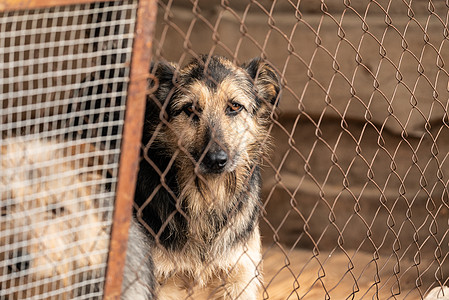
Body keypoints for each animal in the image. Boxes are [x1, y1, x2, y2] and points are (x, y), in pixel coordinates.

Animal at [135, 55, 278, 298]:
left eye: (234, 107)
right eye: (190, 109)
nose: (216, 160)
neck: (206, 198)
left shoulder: (239, 276)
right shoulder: (162, 281)